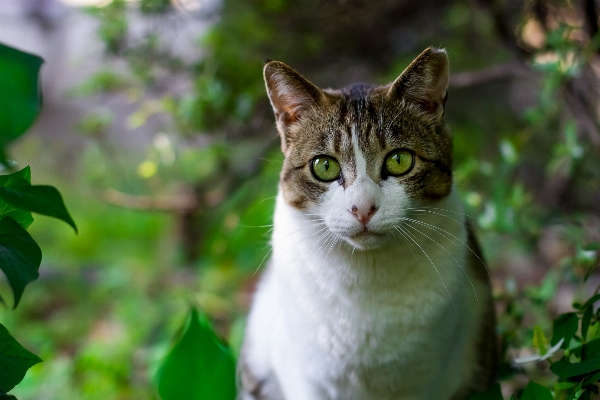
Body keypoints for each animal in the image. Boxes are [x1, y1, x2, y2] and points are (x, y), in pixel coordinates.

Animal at [239, 47, 496, 400]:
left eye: (399, 161)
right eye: (324, 166)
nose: (363, 208)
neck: (365, 275)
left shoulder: (429, 380)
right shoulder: (304, 378)